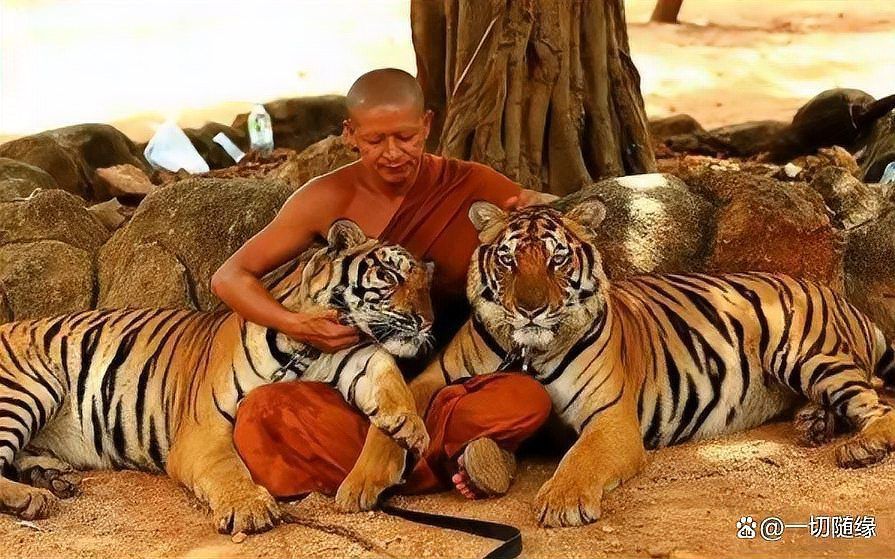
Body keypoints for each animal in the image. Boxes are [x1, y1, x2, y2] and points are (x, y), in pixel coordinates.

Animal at [0, 219, 435, 534]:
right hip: (27, 389)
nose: (426, 322)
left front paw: (409, 428)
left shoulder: (357, 358)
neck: (311, 347)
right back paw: (32, 499)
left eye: (426, 285)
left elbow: (388, 375)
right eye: (390, 275)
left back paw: (52, 479)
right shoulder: (202, 430)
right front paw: (249, 508)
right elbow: (226, 466)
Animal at [339, 200, 895, 528]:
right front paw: (360, 483)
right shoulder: (435, 378)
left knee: (875, 403)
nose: (531, 309)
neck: (527, 349)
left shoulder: (610, 417)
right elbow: (391, 421)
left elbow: (581, 458)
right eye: (508, 259)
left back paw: (863, 446)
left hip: (806, 352)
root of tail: (836, 294)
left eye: (558, 259)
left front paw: (561, 502)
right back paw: (814, 424)